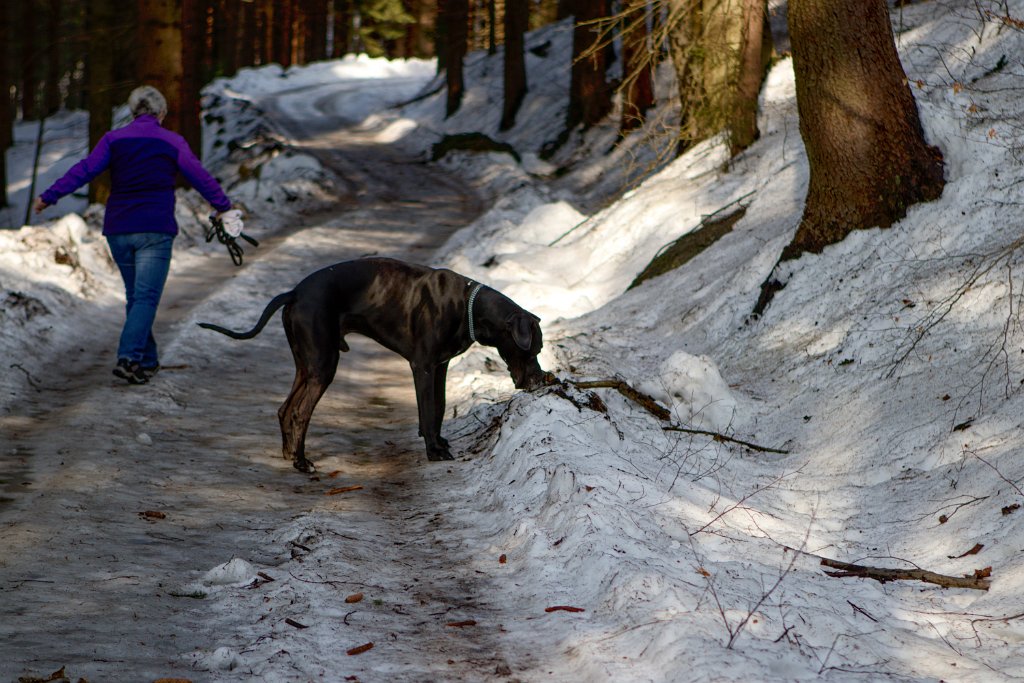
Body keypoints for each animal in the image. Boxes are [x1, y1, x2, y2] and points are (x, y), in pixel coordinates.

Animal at [200, 254, 552, 471]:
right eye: (531, 349)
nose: (538, 380)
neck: (468, 304)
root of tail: (295, 292)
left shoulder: (440, 367)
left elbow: (438, 408)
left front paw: (438, 442)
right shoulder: (423, 366)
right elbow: (427, 411)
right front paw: (434, 451)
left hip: (307, 363)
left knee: (285, 408)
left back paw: (290, 453)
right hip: (323, 364)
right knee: (300, 412)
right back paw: (302, 463)